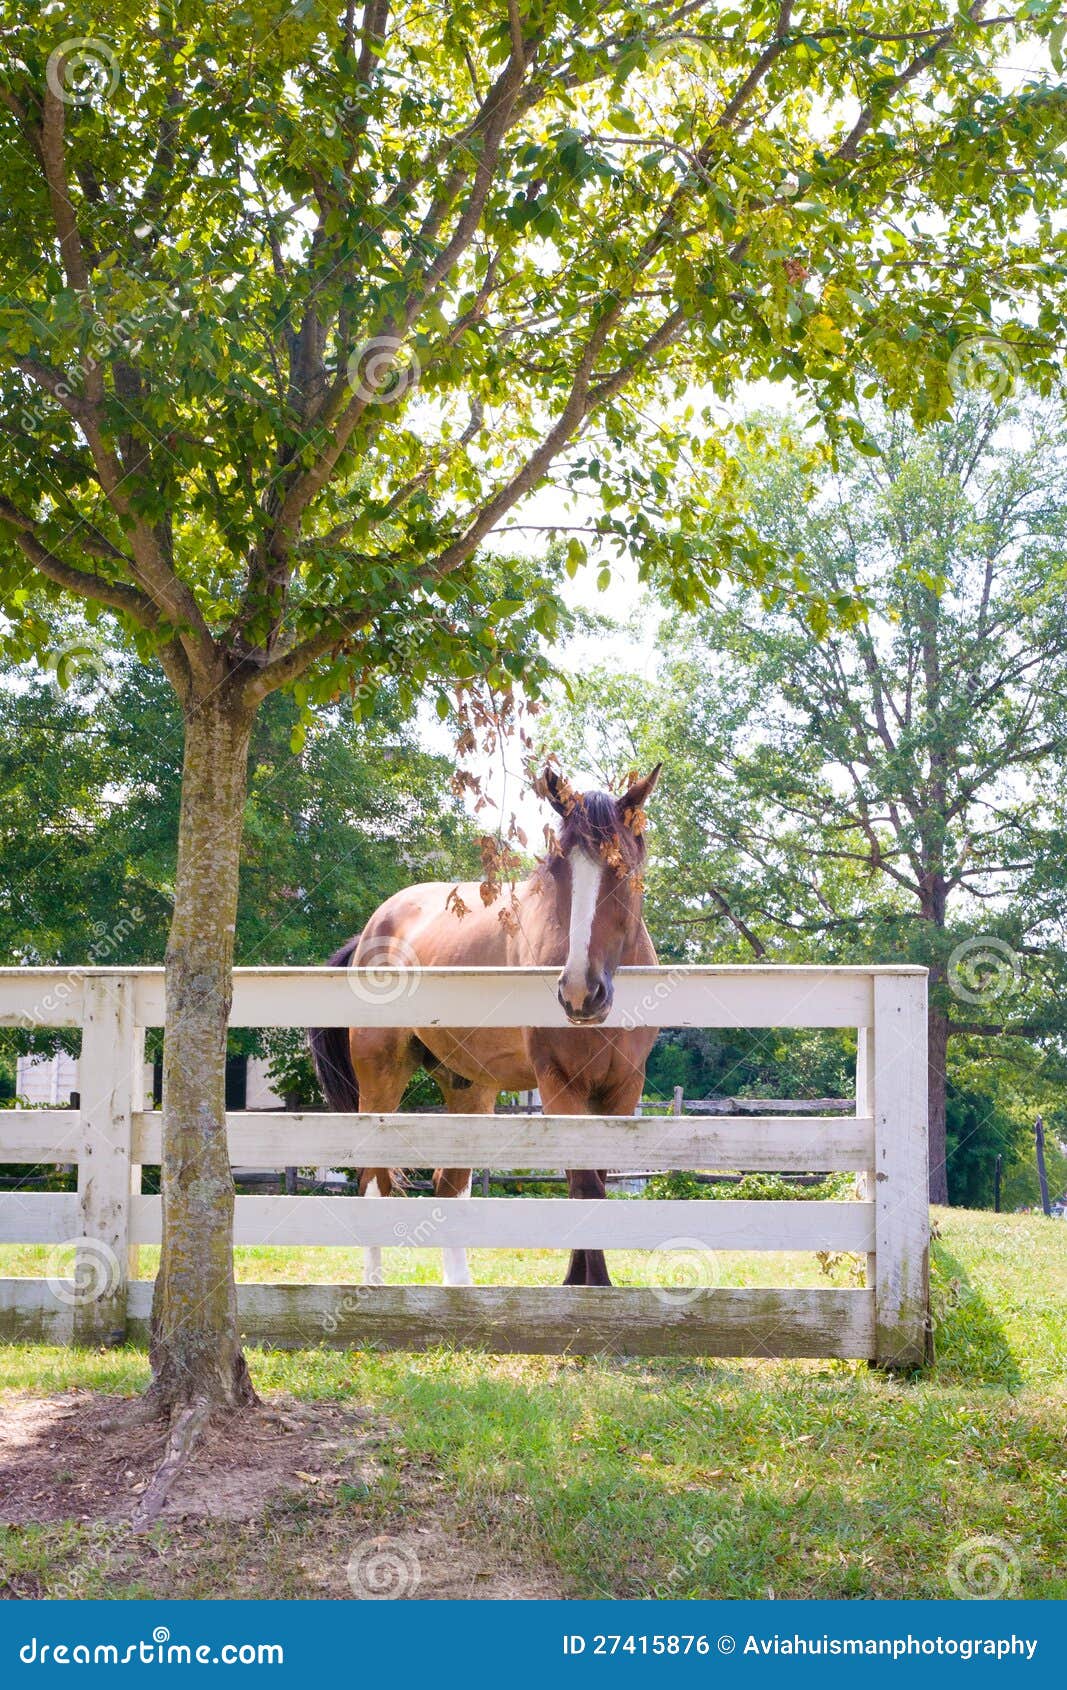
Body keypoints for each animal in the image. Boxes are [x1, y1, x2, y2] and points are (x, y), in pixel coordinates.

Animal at [309, 760, 659, 1284]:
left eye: (623, 867)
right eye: (556, 868)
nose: (579, 992)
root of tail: (373, 928)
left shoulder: (622, 1087)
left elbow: (595, 1181)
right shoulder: (559, 1084)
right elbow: (583, 1186)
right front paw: (586, 1288)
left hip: (468, 1086)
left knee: (449, 1184)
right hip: (381, 1077)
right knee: (375, 1179)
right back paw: (374, 1287)